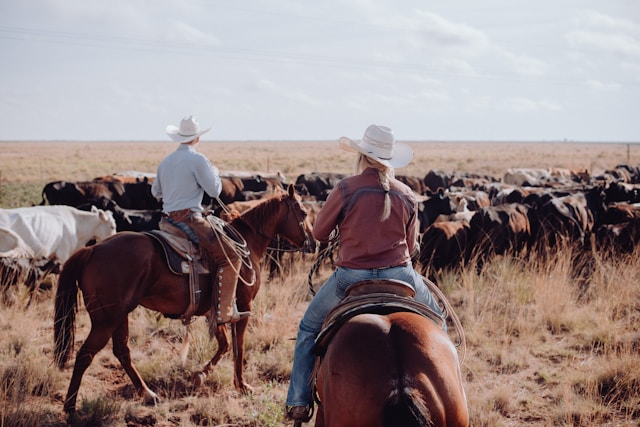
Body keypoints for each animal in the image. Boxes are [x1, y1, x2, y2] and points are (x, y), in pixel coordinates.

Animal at [54, 184, 315, 416]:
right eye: (303, 212)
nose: (314, 242)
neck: (247, 243)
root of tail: (93, 250)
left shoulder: (215, 309)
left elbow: (224, 344)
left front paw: (200, 375)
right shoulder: (242, 305)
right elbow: (238, 347)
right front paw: (242, 385)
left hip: (119, 315)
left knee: (122, 350)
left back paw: (147, 394)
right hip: (105, 320)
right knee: (85, 355)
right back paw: (70, 406)